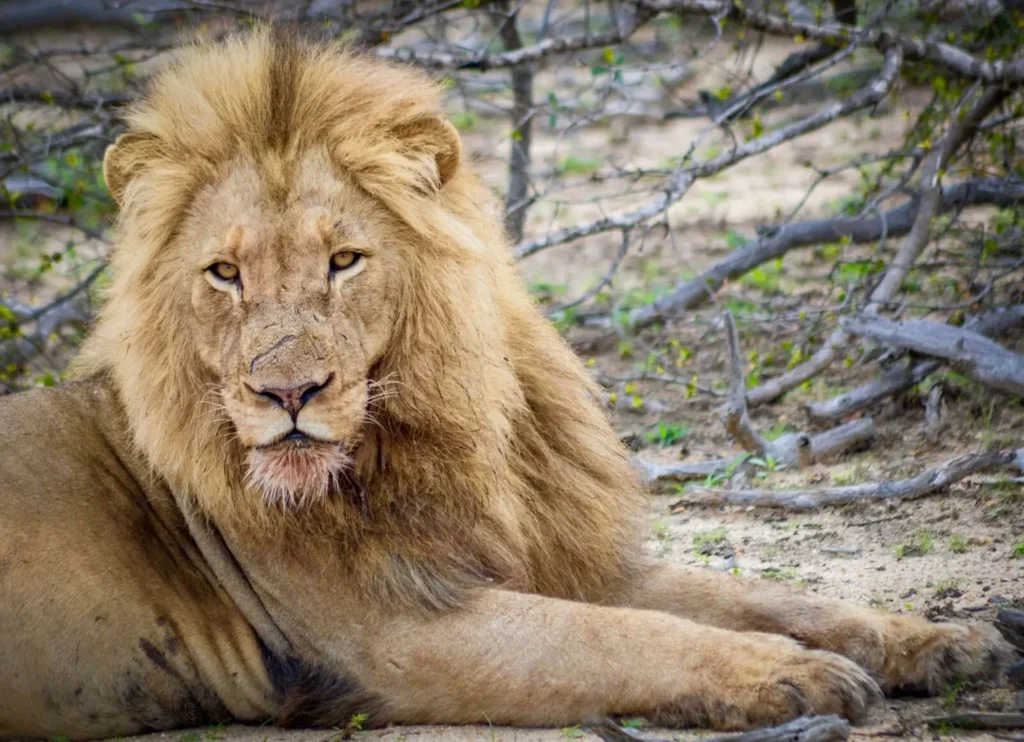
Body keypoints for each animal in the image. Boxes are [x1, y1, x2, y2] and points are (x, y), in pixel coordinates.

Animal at [0, 27, 1014, 741]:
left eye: (343, 260)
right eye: (224, 274)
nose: (287, 394)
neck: (438, 435)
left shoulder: (569, 559)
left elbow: (765, 595)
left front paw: (941, 640)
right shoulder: (394, 638)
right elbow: (618, 640)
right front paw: (787, 676)